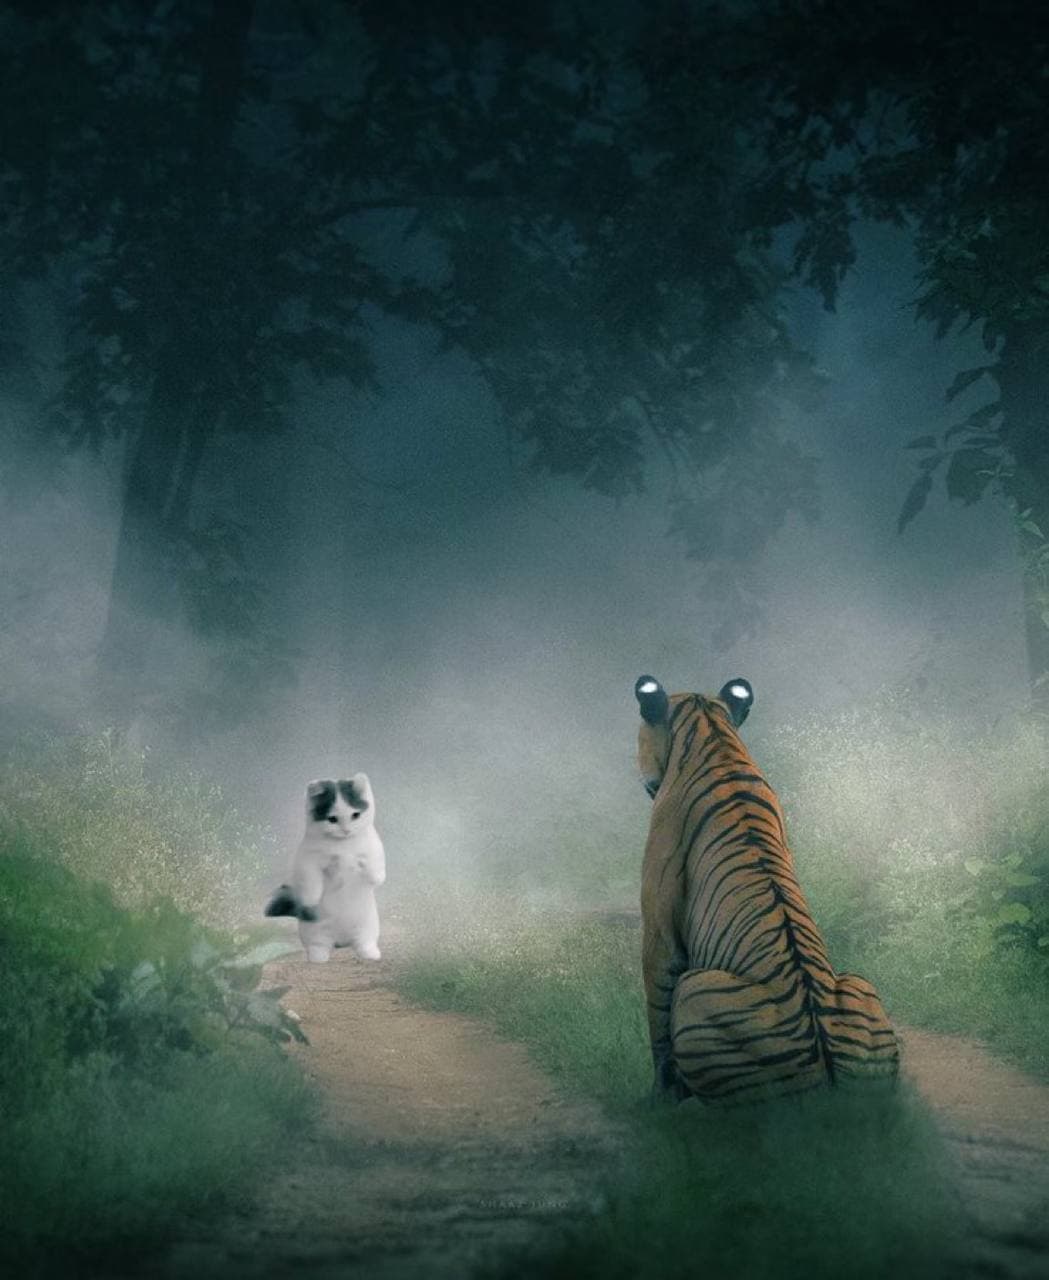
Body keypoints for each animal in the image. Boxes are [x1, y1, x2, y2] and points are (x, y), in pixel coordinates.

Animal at [634, 674, 899, 1106]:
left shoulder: (658, 931)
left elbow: (657, 1019)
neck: (710, 731)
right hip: (861, 984)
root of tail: (831, 1091)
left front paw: (659, 1099)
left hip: (696, 988)